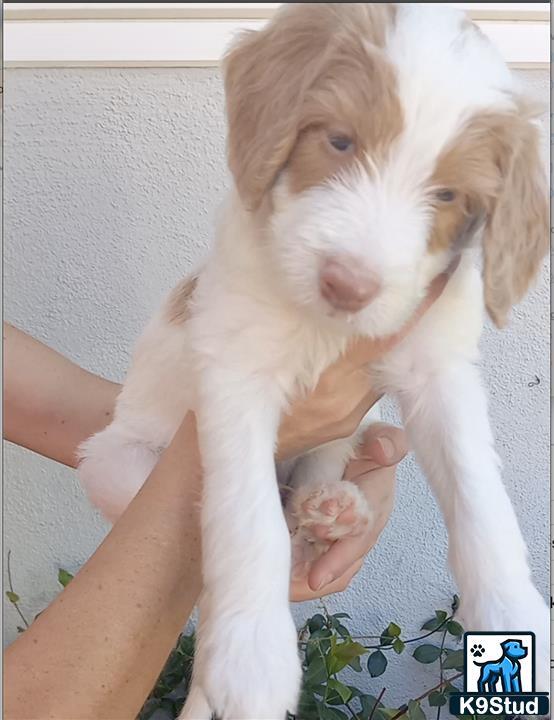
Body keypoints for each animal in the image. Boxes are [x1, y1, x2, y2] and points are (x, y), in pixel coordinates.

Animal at [77, 2, 548, 716]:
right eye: (340, 142)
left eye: (446, 196)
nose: (347, 286)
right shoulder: (238, 368)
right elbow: (247, 523)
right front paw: (251, 658)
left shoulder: (438, 370)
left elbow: (480, 499)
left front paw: (513, 613)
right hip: (117, 463)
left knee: (321, 471)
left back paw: (332, 507)